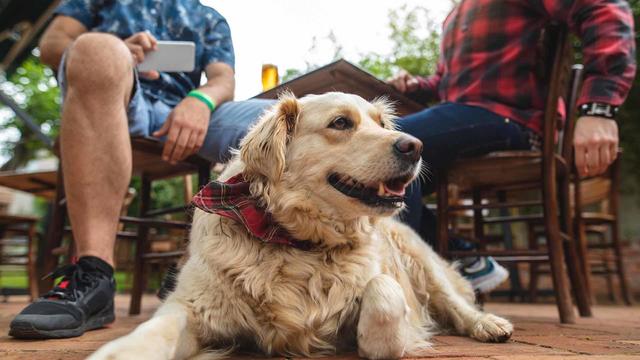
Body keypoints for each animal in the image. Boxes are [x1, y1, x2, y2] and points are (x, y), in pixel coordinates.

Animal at [90, 91, 512, 358]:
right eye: (341, 123)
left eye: (381, 123)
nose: (415, 146)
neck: (299, 241)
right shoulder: (192, 305)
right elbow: (155, 328)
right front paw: (122, 352)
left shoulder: (387, 289)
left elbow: (383, 292)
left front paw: (370, 336)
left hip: (421, 261)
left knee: (456, 303)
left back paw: (489, 324)